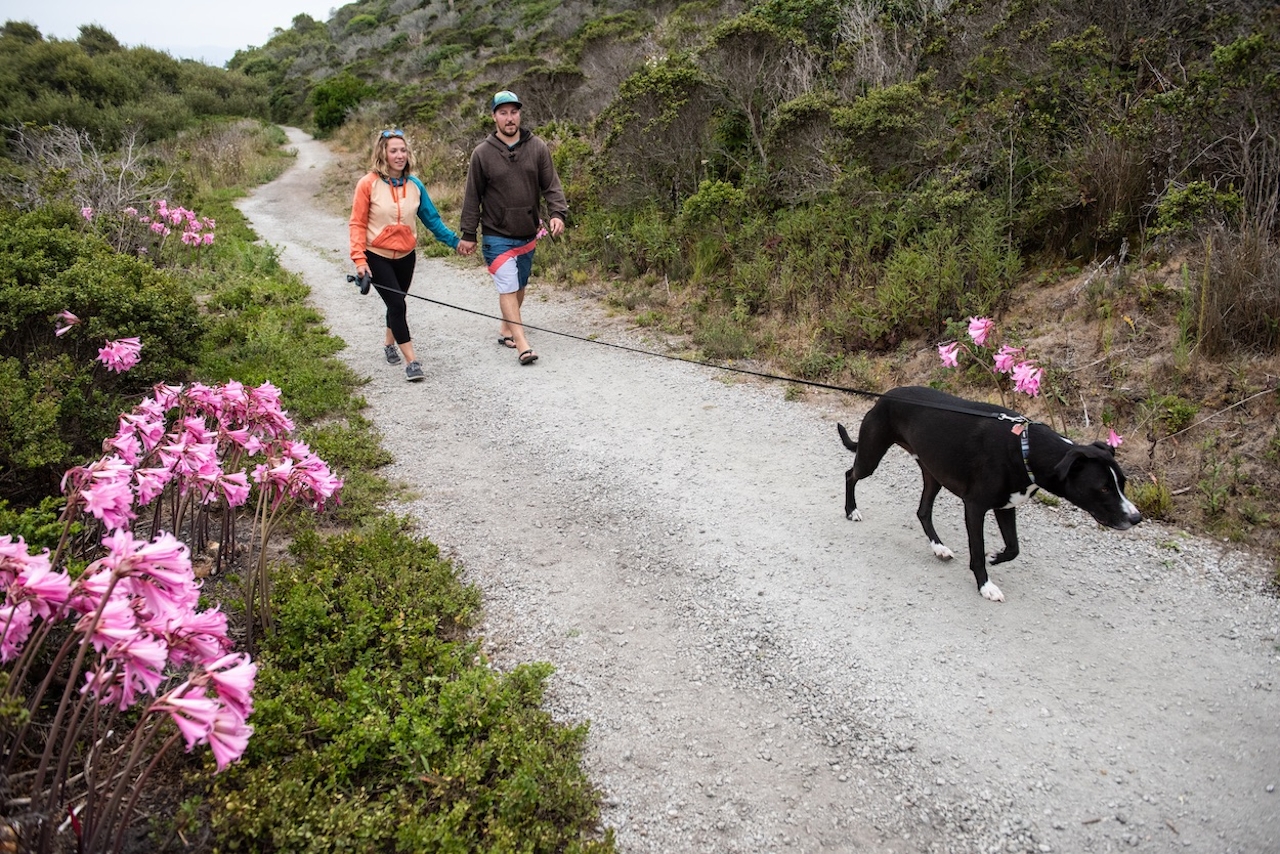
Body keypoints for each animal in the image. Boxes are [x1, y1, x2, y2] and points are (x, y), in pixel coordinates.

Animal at [839, 386, 1141, 601]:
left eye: (1122, 483)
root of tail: (884, 397)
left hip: (933, 475)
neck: (1025, 449)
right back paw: (851, 510)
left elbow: (1014, 547)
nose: (1136, 518)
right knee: (850, 474)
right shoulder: (975, 507)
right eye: (1103, 487)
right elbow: (977, 550)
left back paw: (939, 547)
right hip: (871, 456)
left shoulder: (1005, 506)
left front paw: (997, 557)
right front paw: (985, 585)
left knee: (923, 512)